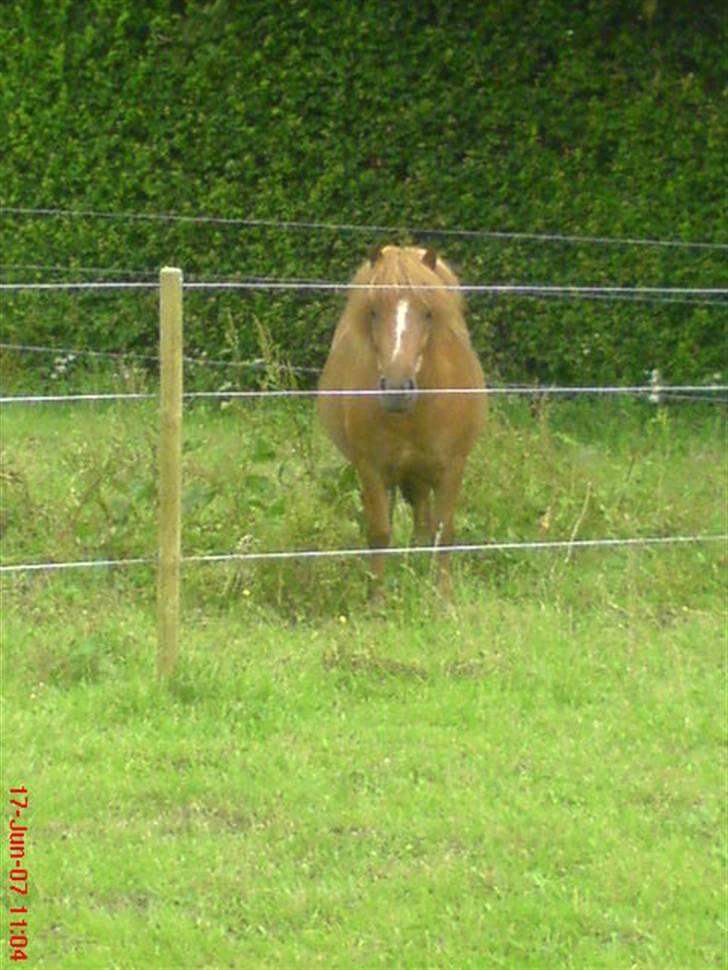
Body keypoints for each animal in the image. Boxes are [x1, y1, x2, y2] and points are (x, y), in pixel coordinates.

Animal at [318, 244, 484, 588]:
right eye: (373, 312)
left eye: (429, 313)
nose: (396, 388)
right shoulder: (371, 468)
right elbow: (380, 533)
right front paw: (377, 596)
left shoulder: (452, 467)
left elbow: (443, 533)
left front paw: (441, 595)